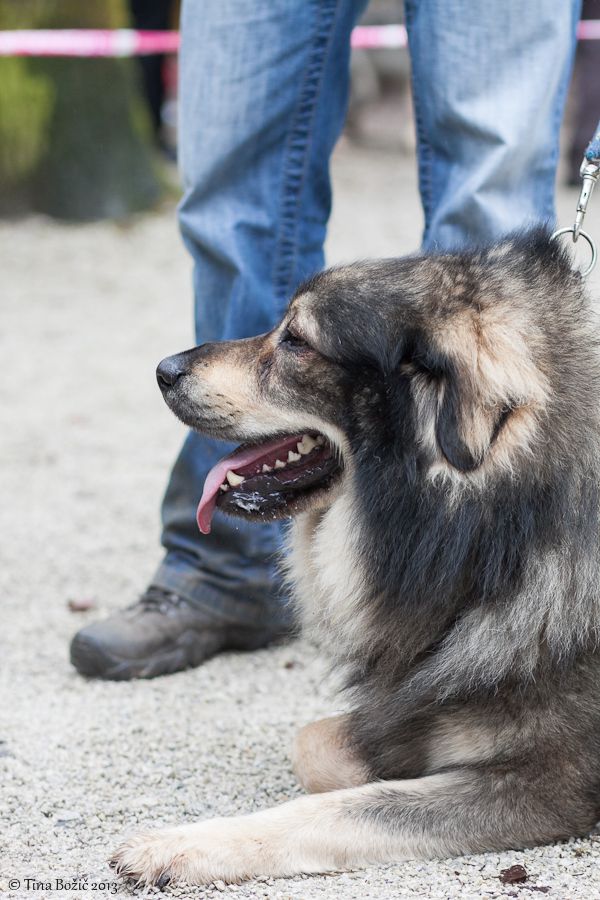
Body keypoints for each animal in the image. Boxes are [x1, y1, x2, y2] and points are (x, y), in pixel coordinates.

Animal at [110, 230, 600, 884]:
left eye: (296, 339)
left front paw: (180, 845)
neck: (506, 532)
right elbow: (316, 740)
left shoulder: (549, 781)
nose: (164, 370)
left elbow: (339, 806)